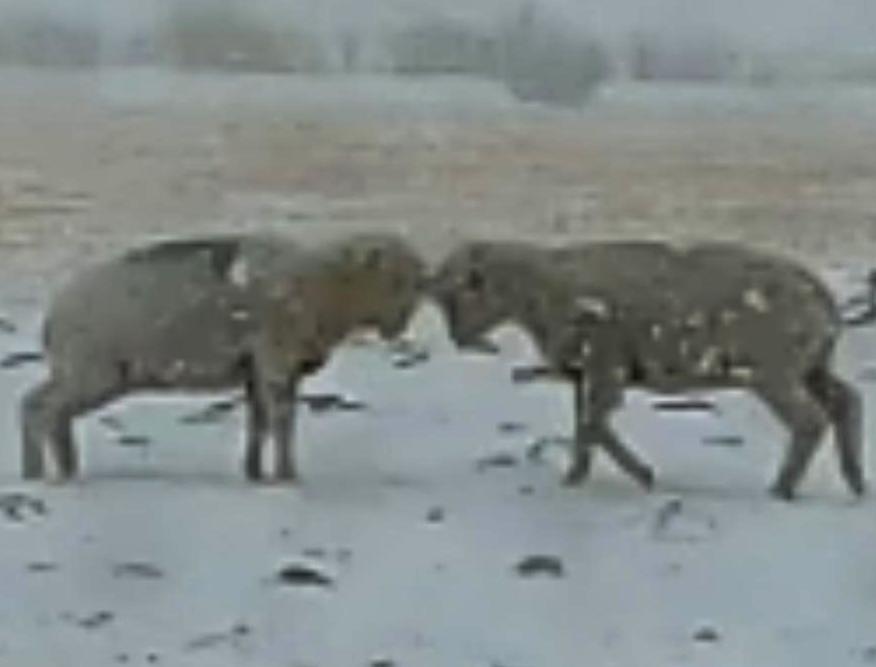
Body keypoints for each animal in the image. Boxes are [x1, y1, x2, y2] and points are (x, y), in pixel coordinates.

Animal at [21, 232, 425, 482]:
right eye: (397, 280)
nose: (404, 320)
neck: (322, 285)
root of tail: (54, 315)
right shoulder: (276, 361)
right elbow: (282, 421)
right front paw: (287, 476)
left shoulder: (257, 370)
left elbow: (259, 423)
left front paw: (255, 473)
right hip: (93, 371)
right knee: (44, 408)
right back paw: (50, 471)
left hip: (89, 372)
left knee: (38, 405)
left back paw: (52, 470)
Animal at [430, 240, 864, 500]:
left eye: (456, 295)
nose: (458, 339)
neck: (541, 291)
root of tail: (823, 300)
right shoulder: (583, 373)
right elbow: (586, 427)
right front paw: (576, 475)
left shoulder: (606, 367)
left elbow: (593, 424)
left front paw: (641, 475)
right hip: (812, 365)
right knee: (847, 401)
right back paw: (857, 480)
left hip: (774, 371)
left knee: (810, 420)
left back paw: (782, 488)